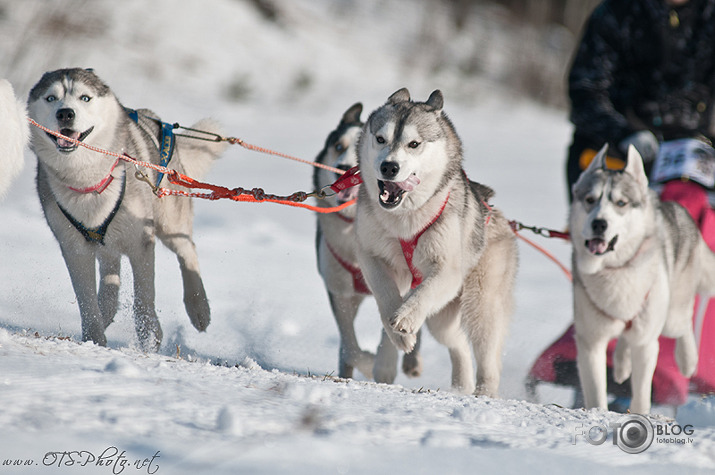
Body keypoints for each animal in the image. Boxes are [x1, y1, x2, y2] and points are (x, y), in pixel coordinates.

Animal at [28, 68, 227, 350]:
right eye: (50, 98)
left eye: (85, 97)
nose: (65, 113)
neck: (88, 182)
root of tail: (151, 117)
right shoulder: (74, 247)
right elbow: (86, 300)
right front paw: (94, 338)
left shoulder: (140, 241)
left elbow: (144, 296)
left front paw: (149, 338)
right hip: (107, 243)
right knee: (110, 275)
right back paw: (106, 309)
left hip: (169, 223)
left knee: (187, 251)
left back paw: (198, 307)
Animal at [316, 102, 422, 382]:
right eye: (338, 146)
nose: (343, 166)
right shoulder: (339, 291)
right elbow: (349, 346)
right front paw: (366, 361)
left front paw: (384, 364)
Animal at [356, 87, 516, 396]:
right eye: (380, 139)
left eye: (414, 144)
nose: (389, 166)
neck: (405, 220)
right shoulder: (371, 256)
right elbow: (385, 295)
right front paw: (399, 336)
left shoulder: (447, 272)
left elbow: (423, 294)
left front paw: (406, 318)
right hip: (442, 319)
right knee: (458, 343)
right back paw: (460, 384)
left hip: (480, 305)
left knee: (487, 353)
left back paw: (484, 392)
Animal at [572, 144, 715, 412]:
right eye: (589, 200)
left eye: (621, 202)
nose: (599, 223)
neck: (615, 270)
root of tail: (673, 207)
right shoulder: (590, 342)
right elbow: (596, 391)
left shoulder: (646, 343)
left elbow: (641, 393)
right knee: (624, 340)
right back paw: (621, 365)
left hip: (670, 316)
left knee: (684, 323)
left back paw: (687, 359)